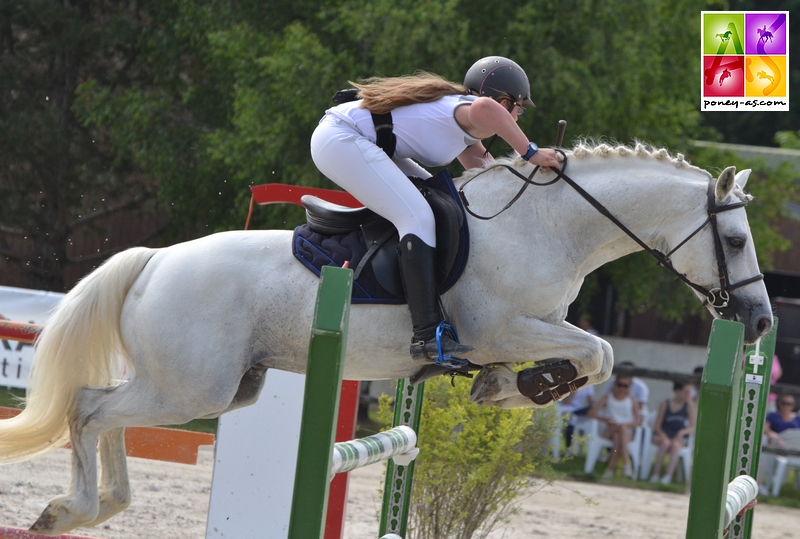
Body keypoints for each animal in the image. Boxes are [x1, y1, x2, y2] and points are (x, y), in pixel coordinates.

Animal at [1, 142, 776, 536]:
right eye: (736, 240)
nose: (763, 321)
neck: (547, 227)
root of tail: (155, 259)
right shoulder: (503, 326)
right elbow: (598, 352)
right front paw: (522, 384)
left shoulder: (528, 327)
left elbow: (597, 354)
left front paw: (506, 386)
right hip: (191, 385)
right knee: (90, 410)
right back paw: (72, 508)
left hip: (213, 386)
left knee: (106, 414)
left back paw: (99, 507)